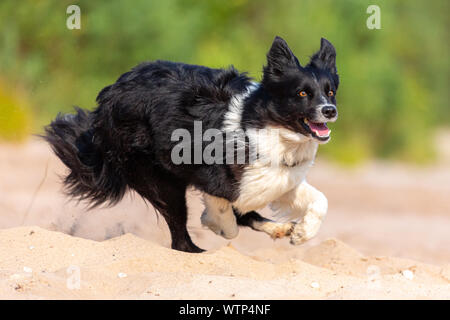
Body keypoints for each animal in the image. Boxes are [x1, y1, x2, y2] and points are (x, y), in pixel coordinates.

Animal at [44, 37, 338, 252]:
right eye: (302, 93)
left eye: (331, 91)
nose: (330, 110)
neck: (266, 125)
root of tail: (109, 96)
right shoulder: (215, 179)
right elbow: (228, 216)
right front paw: (216, 224)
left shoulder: (277, 178)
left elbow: (320, 200)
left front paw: (302, 233)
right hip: (161, 182)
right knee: (180, 239)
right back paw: (199, 250)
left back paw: (278, 228)